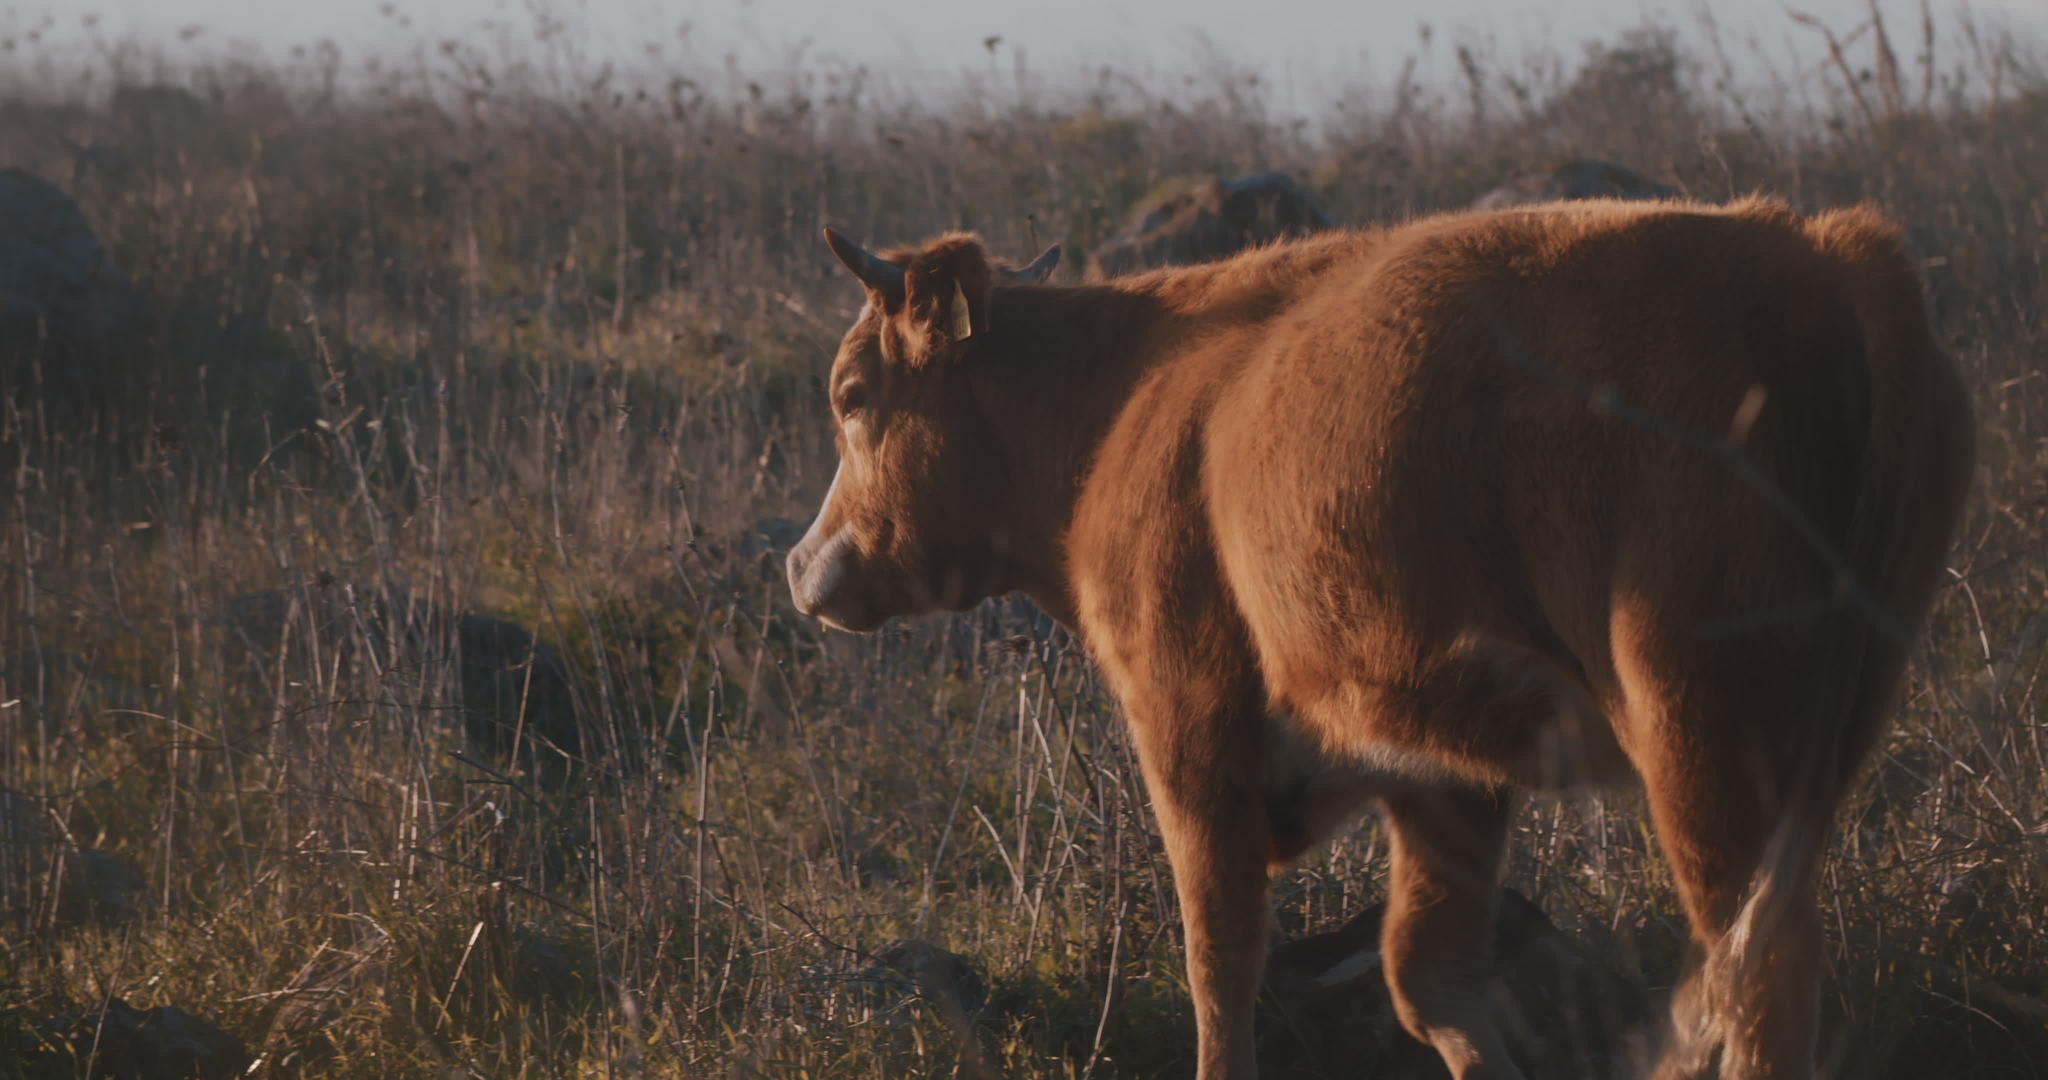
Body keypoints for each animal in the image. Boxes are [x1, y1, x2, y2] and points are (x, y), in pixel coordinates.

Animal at [786, 196, 1982, 1080]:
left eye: (852, 394)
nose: (803, 567)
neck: (1130, 406)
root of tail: (1824, 253)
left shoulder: (1189, 731)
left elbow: (1218, 962)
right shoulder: (1440, 774)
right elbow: (1428, 981)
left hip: (1699, 730)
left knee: (1758, 975)